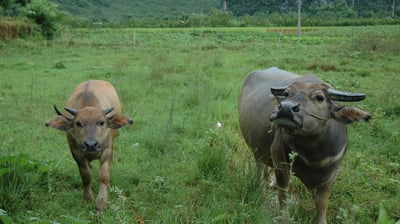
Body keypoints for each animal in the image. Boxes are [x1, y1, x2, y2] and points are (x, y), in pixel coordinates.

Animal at [45, 80, 133, 212]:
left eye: (102, 122)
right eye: (78, 123)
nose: (91, 145)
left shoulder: (107, 150)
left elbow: (103, 176)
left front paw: (101, 202)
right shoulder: (76, 152)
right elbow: (86, 176)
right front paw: (87, 199)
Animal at [238, 67, 372, 224]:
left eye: (320, 97)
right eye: (286, 94)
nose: (286, 108)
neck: (313, 154)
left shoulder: (332, 175)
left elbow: (322, 204)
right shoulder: (281, 162)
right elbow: (283, 195)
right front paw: (284, 218)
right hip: (256, 149)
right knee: (259, 166)